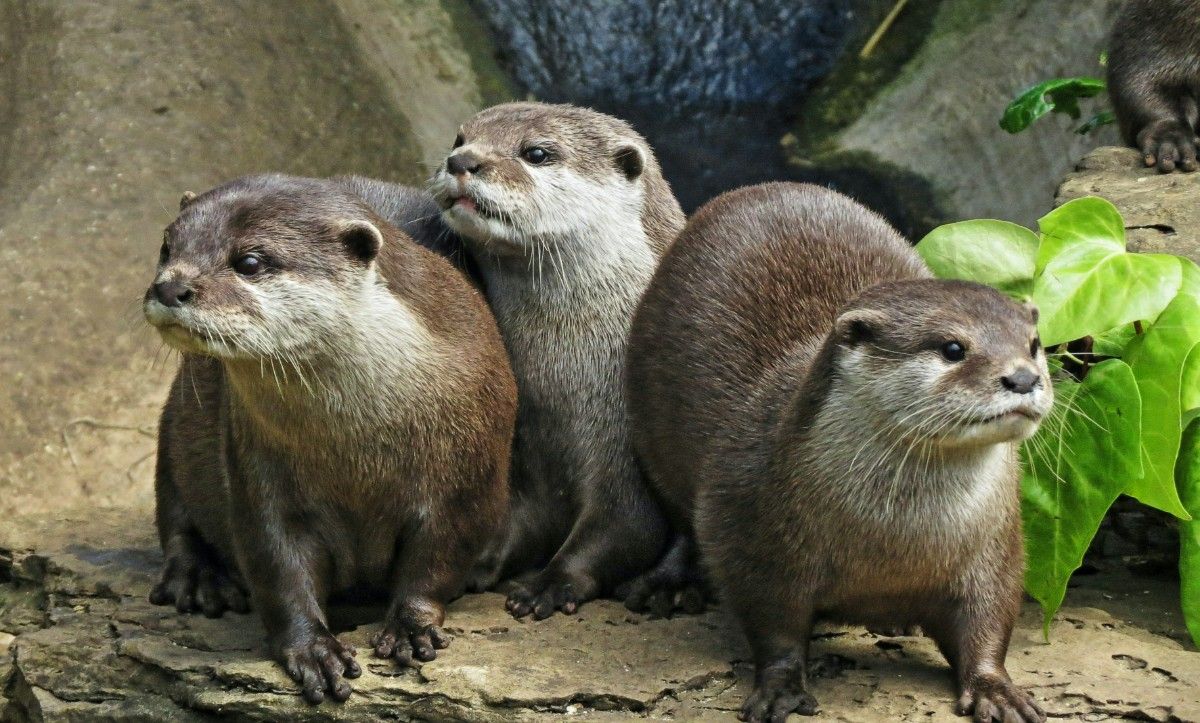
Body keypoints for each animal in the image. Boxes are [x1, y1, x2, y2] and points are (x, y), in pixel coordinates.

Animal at [142, 174, 513, 701]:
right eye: (166, 246)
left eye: (250, 261)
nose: (170, 286)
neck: (360, 448)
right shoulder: (257, 470)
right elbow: (276, 564)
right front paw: (314, 648)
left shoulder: (468, 475)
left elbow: (439, 556)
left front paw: (411, 627)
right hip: (175, 420)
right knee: (173, 506)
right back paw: (198, 578)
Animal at [427, 102, 686, 619]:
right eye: (459, 138)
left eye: (537, 153)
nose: (462, 161)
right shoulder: (528, 453)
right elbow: (517, 522)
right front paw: (472, 565)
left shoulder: (624, 455)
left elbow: (622, 528)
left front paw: (547, 585)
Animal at [628, 182, 1051, 715]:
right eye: (953, 348)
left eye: (1033, 344)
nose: (1024, 377)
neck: (895, 540)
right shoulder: (748, 522)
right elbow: (773, 623)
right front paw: (782, 688)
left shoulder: (995, 543)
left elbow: (989, 617)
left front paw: (997, 688)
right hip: (649, 425)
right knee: (682, 518)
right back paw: (670, 585)